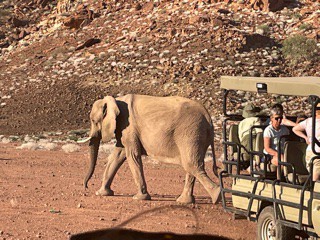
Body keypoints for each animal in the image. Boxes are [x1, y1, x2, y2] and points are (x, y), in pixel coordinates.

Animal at [79, 94, 220, 204]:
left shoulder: (129, 127)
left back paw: (217, 196)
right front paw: (101, 193)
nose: (86, 186)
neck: (116, 100)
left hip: (191, 133)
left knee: (191, 164)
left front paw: (139, 198)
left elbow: (132, 156)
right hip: (197, 135)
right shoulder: (123, 128)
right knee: (192, 165)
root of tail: (208, 117)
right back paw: (184, 201)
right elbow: (117, 156)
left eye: (93, 120)